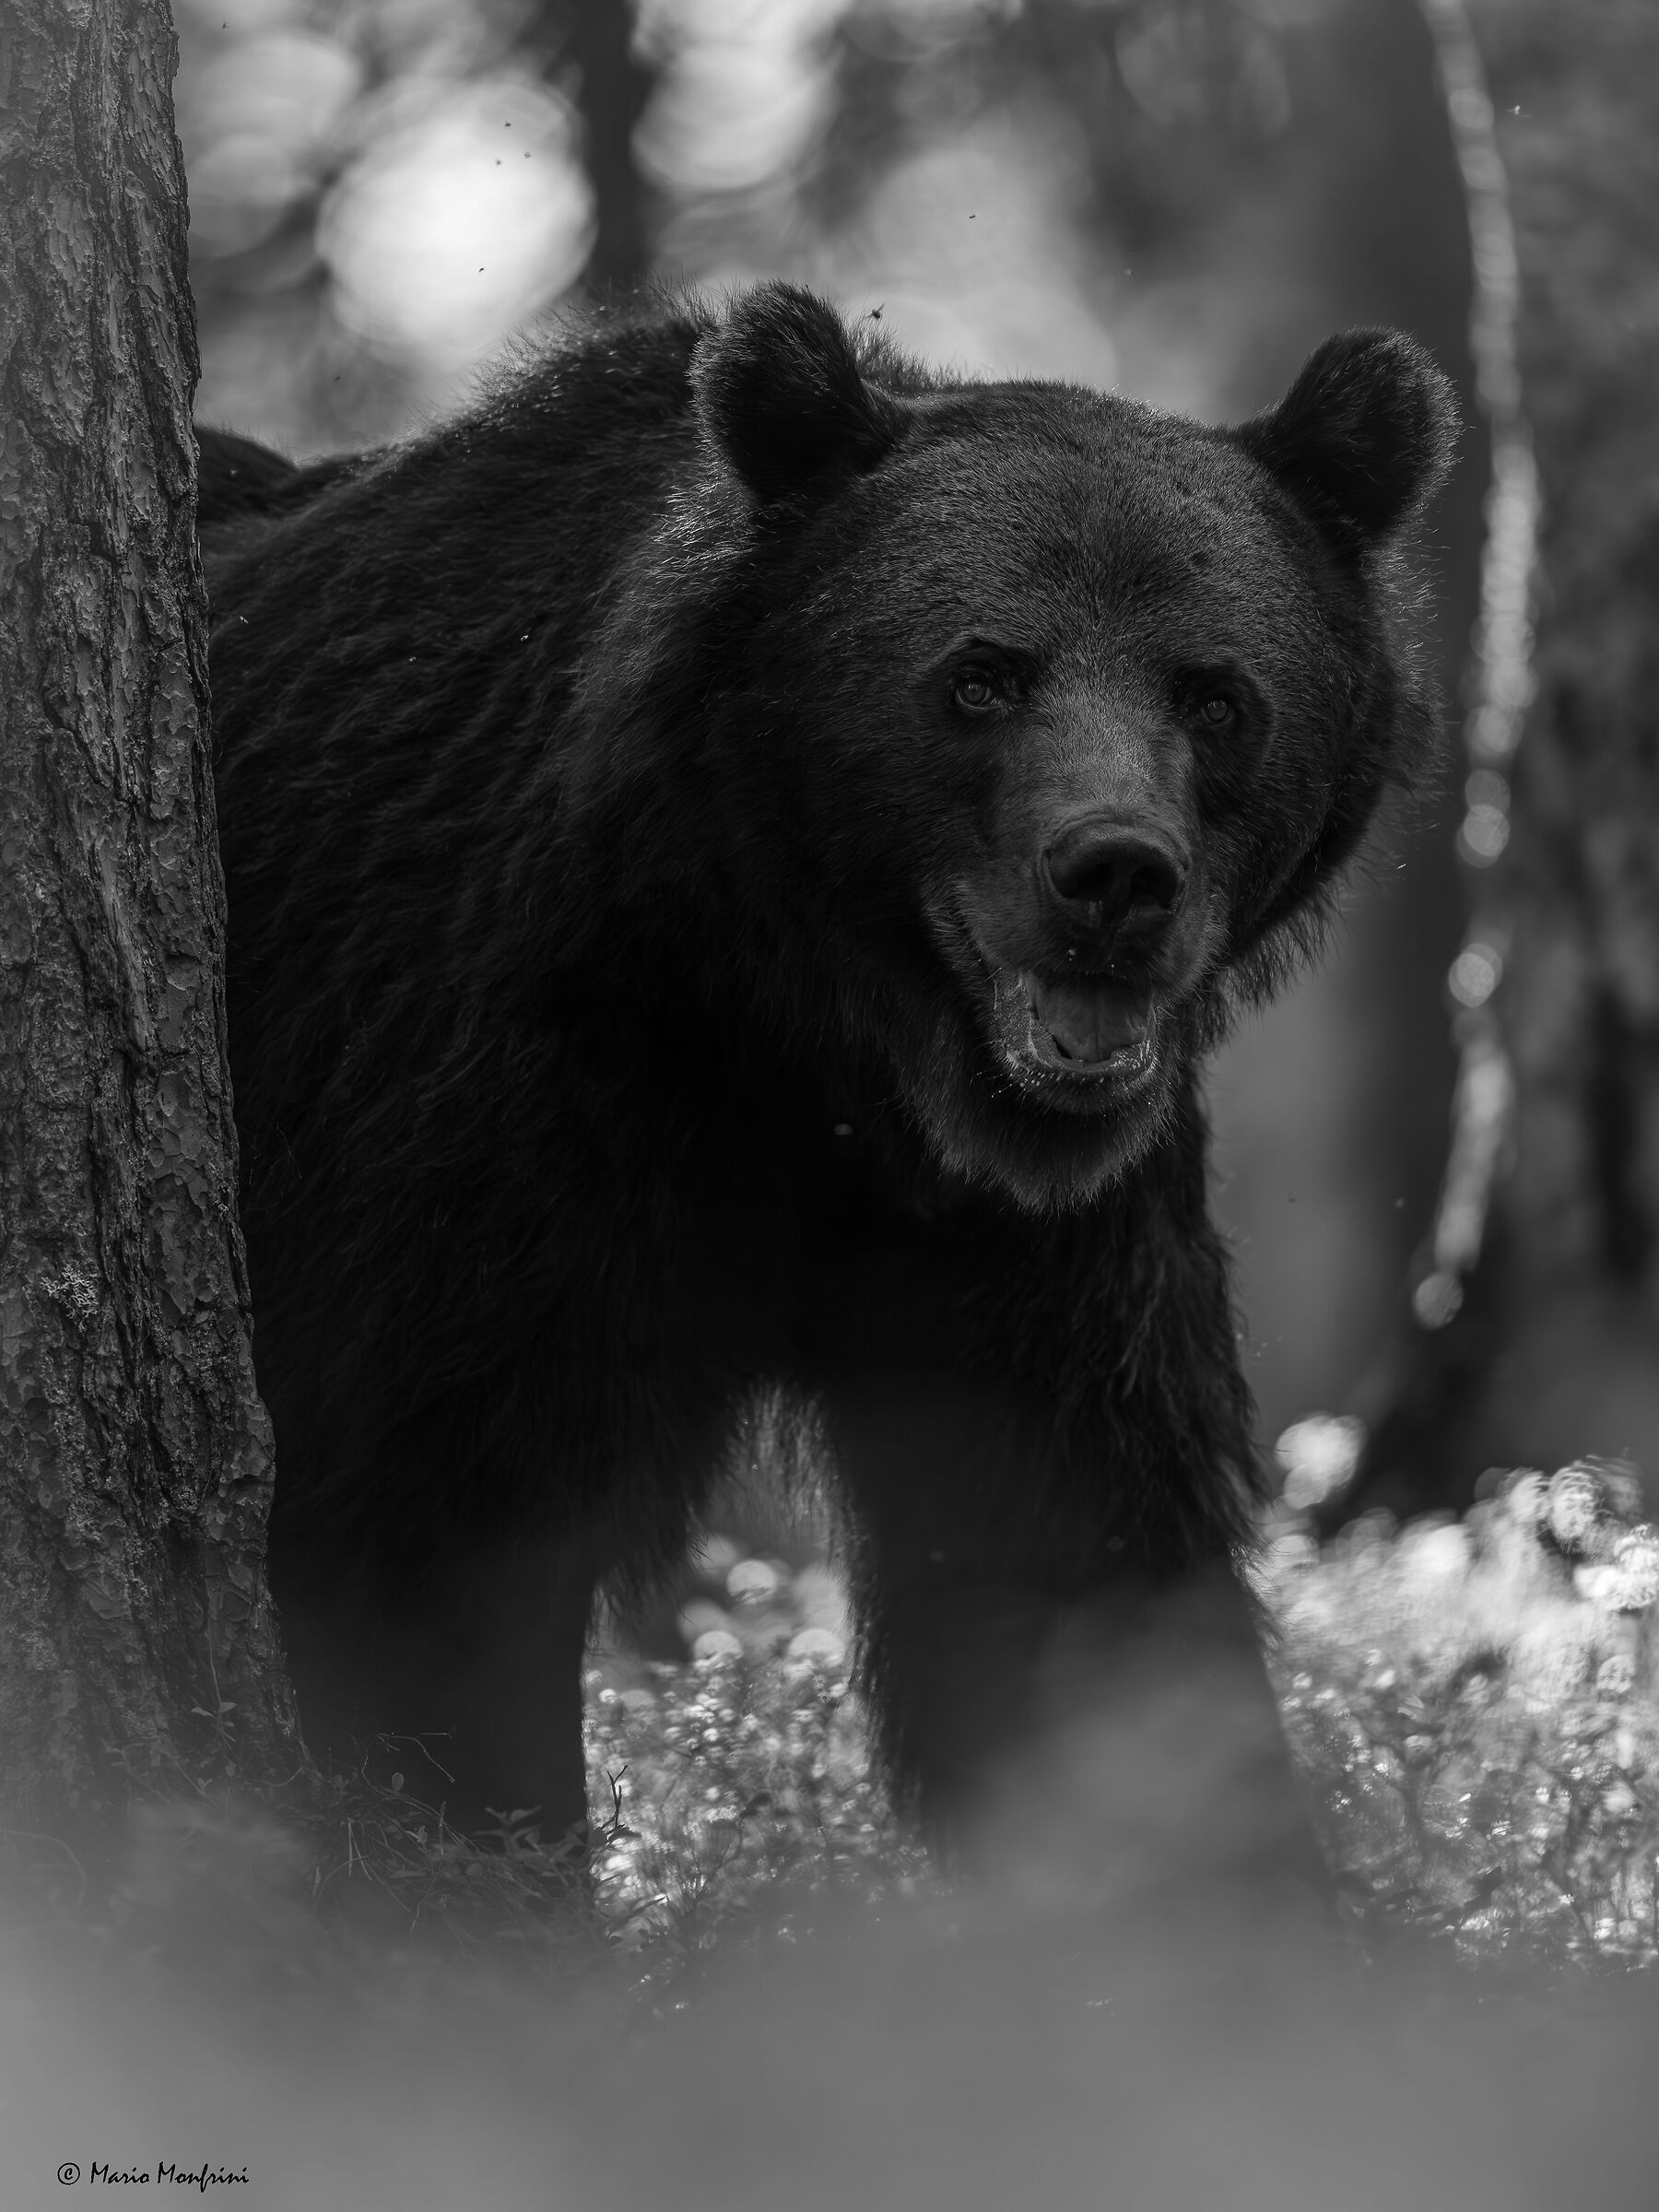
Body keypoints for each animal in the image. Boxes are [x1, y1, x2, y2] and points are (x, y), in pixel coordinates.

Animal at [197, 283, 1456, 1868]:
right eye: (981, 676)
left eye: (1218, 697)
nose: (1115, 876)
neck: (807, 1032)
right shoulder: (459, 1102)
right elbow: (419, 1546)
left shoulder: (1017, 1240)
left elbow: (1074, 1569)